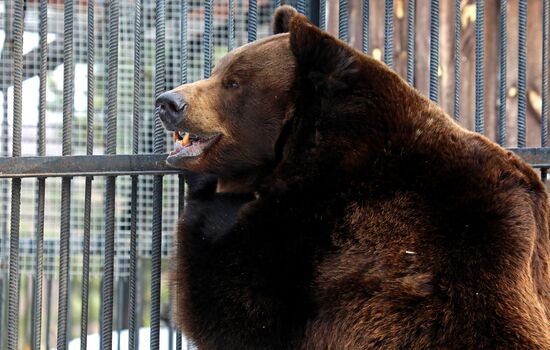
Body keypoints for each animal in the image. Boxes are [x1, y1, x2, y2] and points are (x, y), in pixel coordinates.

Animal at [156, 6, 550, 350]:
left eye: (233, 82)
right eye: (216, 71)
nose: (168, 102)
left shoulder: (330, 228)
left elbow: (240, 306)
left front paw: (208, 197)